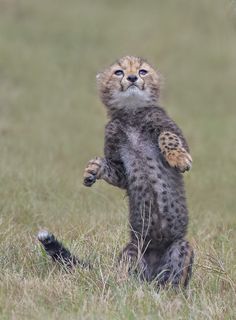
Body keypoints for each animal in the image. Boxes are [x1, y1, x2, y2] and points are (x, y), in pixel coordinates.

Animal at [38, 56, 194, 288]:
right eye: (119, 72)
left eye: (143, 71)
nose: (132, 78)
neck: (131, 114)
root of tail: (151, 280)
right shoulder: (117, 159)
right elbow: (114, 171)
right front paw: (93, 169)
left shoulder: (168, 127)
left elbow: (166, 135)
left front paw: (179, 158)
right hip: (132, 250)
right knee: (126, 277)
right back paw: (120, 285)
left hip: (180, 247)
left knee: (173, 279)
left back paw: (170, 292)